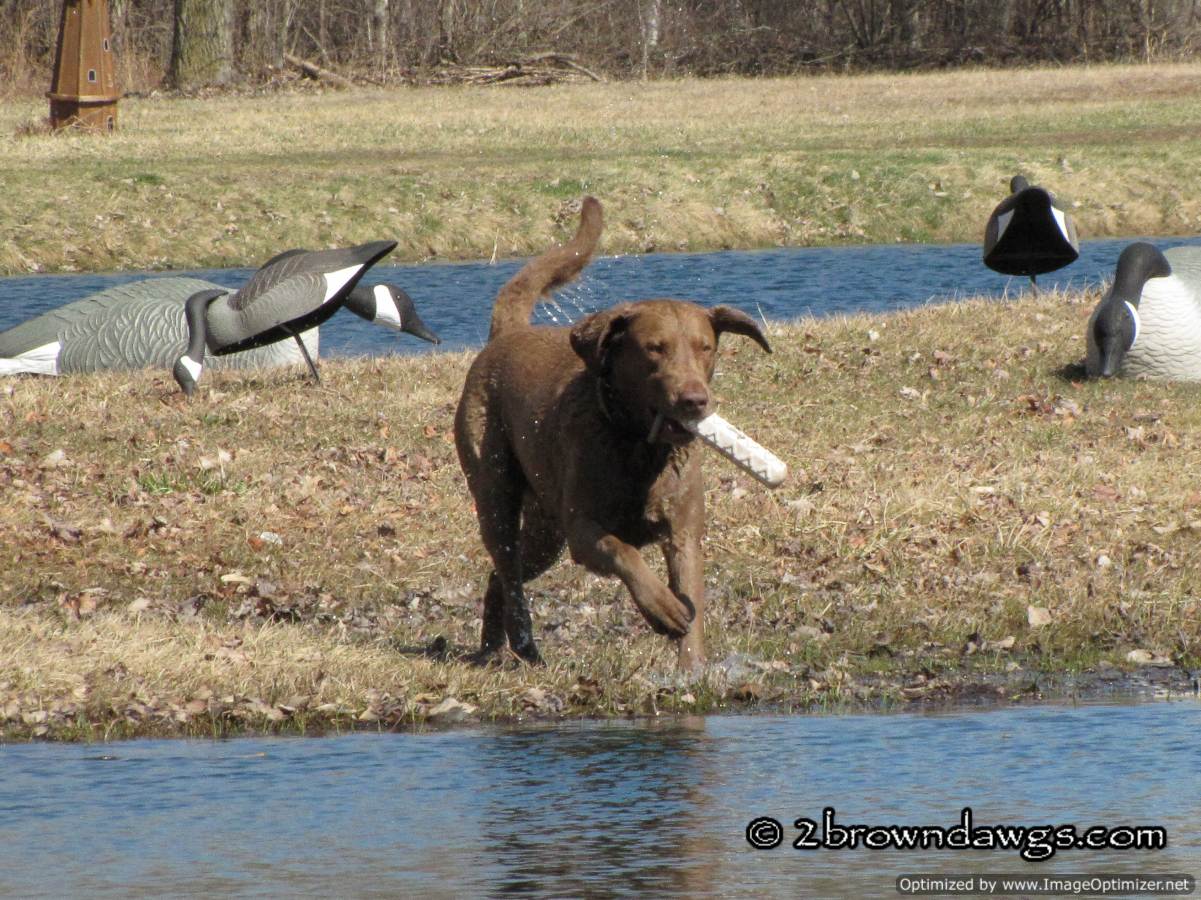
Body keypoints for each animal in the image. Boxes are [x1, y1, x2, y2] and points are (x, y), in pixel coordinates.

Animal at [454, 197, 771, 670]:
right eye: (654, 349)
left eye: (705, 348)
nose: (695, 400)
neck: (638, 449)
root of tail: (509, 334)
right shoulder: (584, 529)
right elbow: (626, 553)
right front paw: (663, 610)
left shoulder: (684, 529)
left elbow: (691, 593)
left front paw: (693, 669)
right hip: (496, 489)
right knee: (507, 568)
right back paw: (523, 643)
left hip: (547, 530)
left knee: (500, 576)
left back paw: (495, 646)